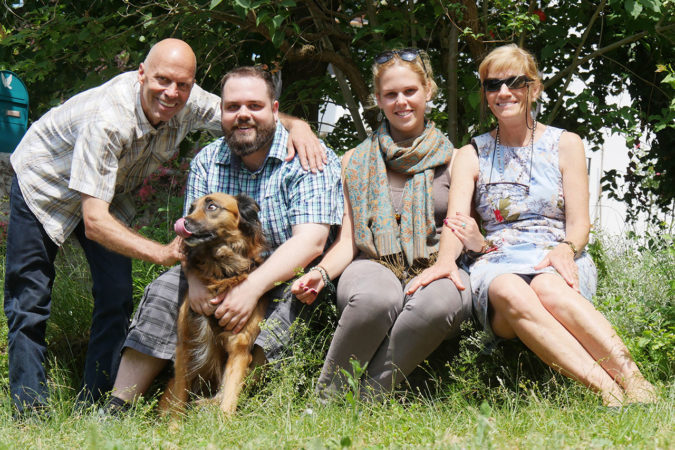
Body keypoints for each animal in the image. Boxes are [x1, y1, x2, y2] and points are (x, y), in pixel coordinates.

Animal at [161, 192, 270, 418]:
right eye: (191, 208)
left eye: (212, 206)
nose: (183, 222)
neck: (220, 273)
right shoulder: (186, 345)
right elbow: (178, 404)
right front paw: (174, 427)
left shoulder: (239, 347)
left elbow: (228, 401)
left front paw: (223, 425)